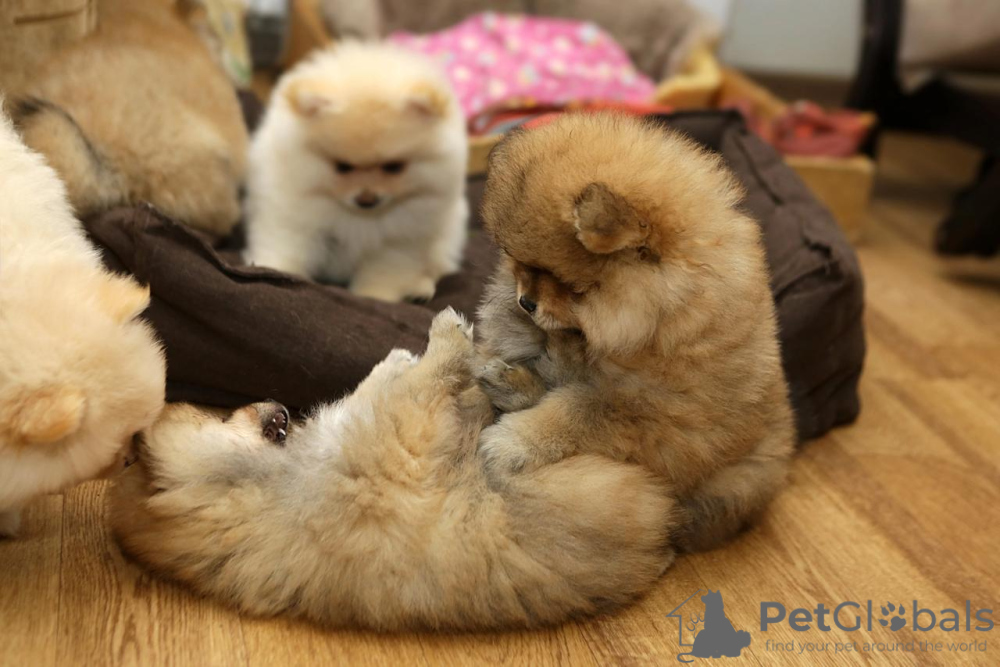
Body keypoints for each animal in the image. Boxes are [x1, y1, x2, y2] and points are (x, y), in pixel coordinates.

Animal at [110, 308, 673, 629]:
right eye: (221, 415)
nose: (276, 403)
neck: (256, 494)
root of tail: (663, 539)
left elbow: (375, 388)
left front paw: (398, 356)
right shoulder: (402, 443)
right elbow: (414, 388)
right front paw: (442, 339)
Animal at [243, 41, 468, 302]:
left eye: (394, 167)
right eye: (342, 166)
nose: (367, 200)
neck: (358, 220)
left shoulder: (399, 242)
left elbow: (384, 273)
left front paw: (374, 297)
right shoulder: (290, 222)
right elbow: (285, 253)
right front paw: (270, 274)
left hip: (449, 235)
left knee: (438, 265)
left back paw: (419, 287)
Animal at [474, 113, 795, 551]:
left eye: (571, 286)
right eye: (518, 260)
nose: (526, 301)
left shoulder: (647, 414)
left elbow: (572, 414)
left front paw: (511, 441)